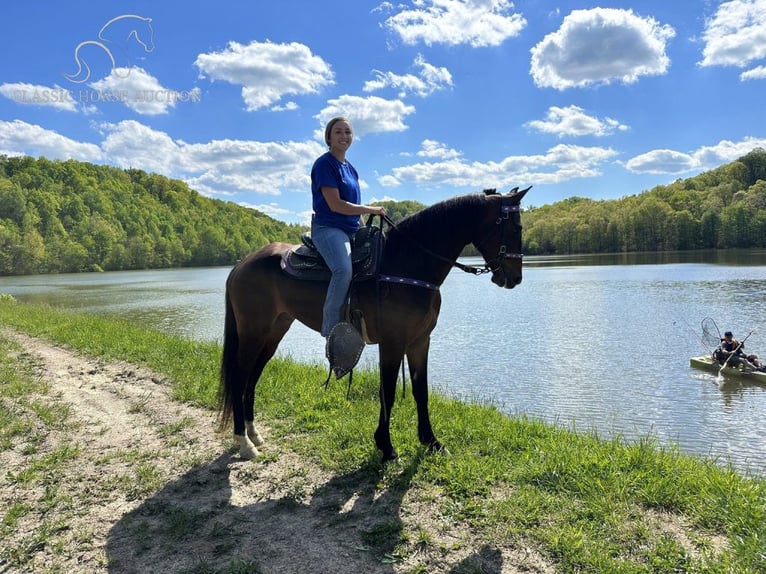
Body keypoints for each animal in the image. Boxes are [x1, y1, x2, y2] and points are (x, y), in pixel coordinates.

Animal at [216, 187, 528, 462]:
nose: (515, 278)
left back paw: (254, 434)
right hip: (253, 333)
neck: (405, 264)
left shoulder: (420, 341)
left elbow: (421, 391)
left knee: (253, 377)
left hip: (274, 332)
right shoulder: (392, 343)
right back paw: (244, 443)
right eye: (515, 228)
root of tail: (241, 264)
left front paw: (431, 442)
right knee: (240, 376)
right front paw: (386, 447)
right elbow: (387, 393)